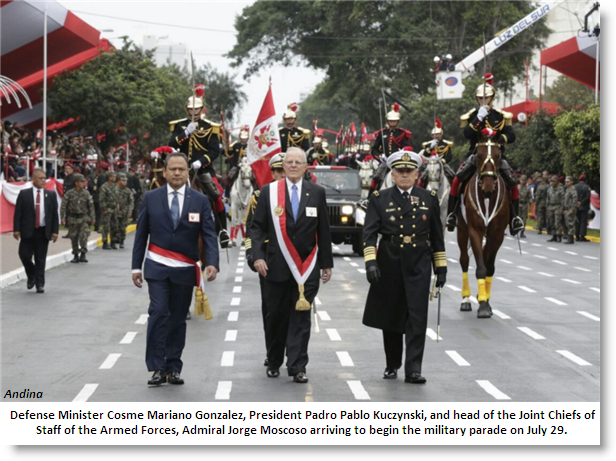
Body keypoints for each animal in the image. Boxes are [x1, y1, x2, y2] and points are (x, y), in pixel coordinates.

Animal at [458, 137, 510, 316]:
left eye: (498, 155)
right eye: (479, 155)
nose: (488, 188)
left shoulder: (497, 234)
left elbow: (489, 267)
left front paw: (485, 300)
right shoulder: (475, 231)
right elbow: (481, 267)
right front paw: (482, 305)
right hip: (462, 229)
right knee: (464, 260)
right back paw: (466, 300)